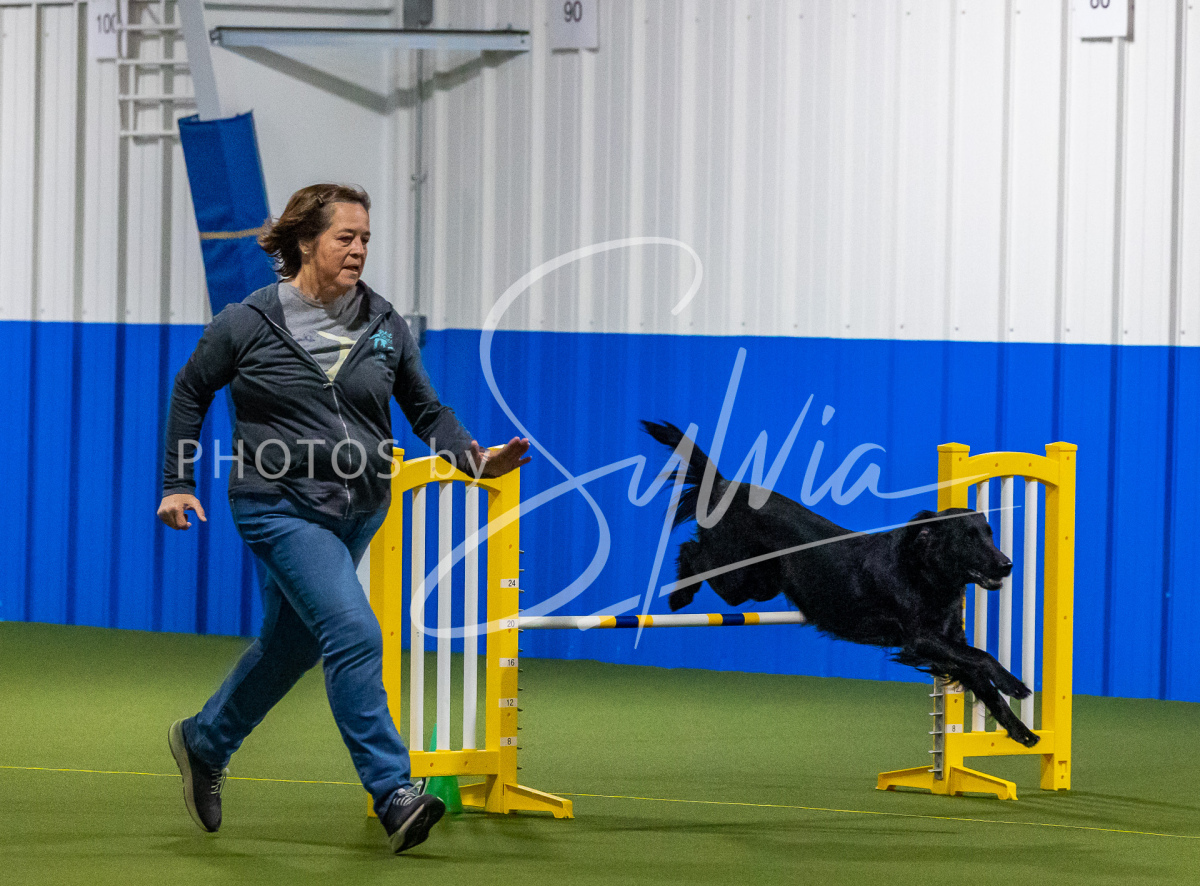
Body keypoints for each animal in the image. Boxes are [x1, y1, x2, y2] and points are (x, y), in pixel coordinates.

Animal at [643, 420, 1039, 748]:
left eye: (989, 534)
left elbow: (981, 679)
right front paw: (1016, 684)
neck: (925, 575)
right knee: (692, 553)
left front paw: (1022, 731)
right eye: (968, 539)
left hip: (761, 584)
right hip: (735, 576)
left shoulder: (947, 643)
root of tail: (724, 484)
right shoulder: (921, 638)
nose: (1007, 565)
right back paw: (680, 596)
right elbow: (983, 658)